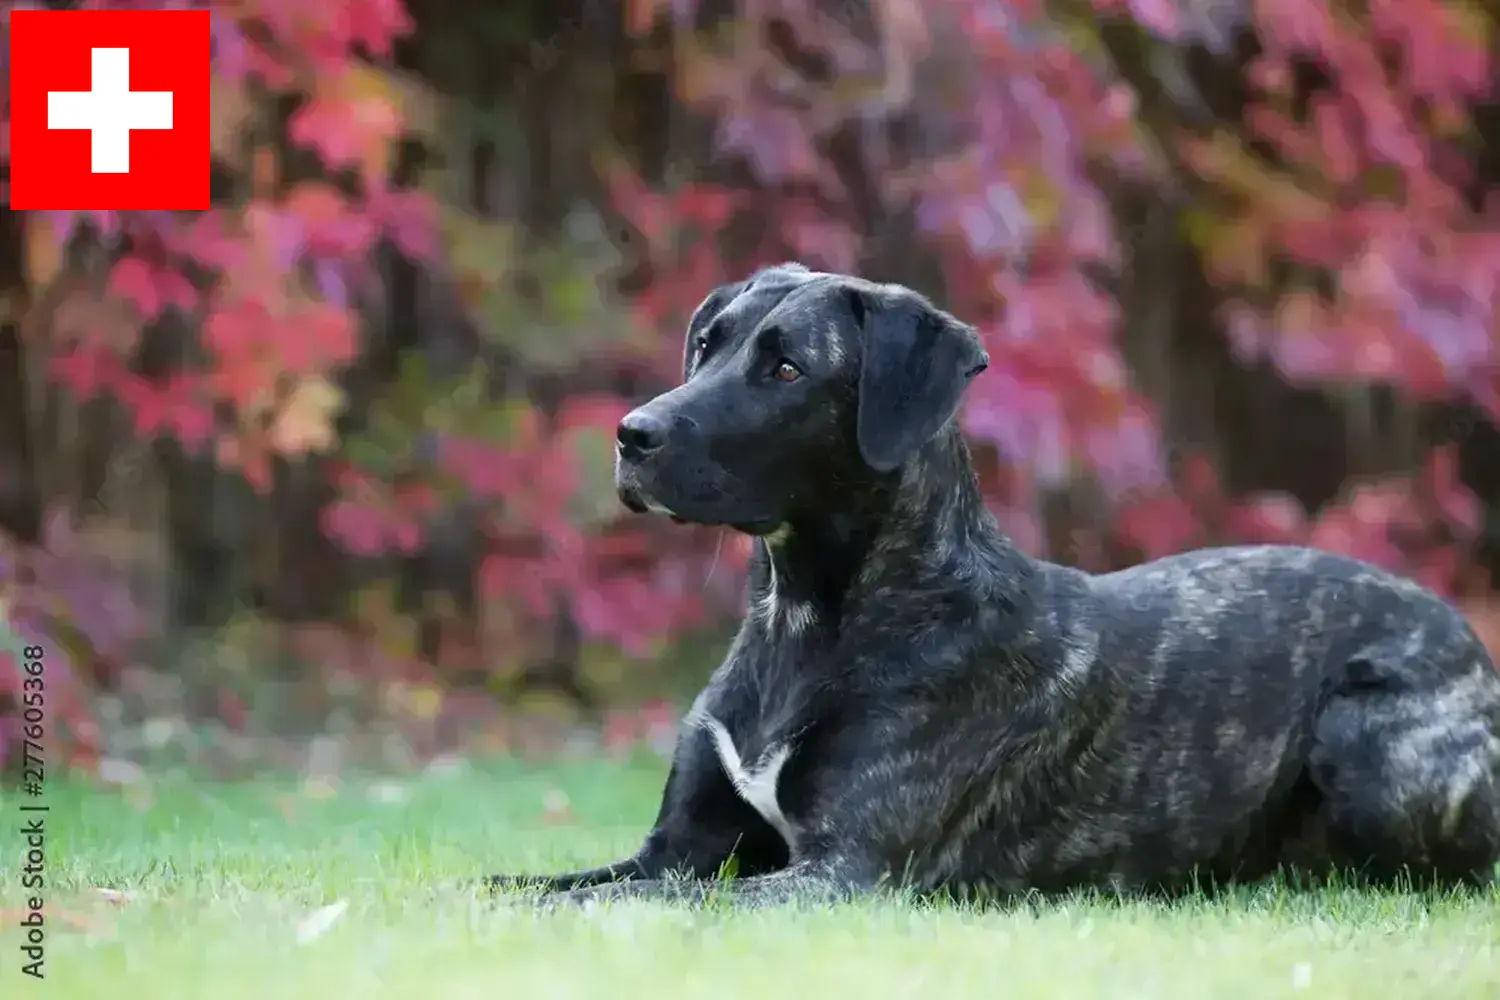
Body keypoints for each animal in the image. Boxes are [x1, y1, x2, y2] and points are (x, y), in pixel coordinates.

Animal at [489, 265, 1500, 905]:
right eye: (707, 343)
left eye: (786, 367)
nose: (632, 434)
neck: (804, 620)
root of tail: (1469, 646)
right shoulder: (677, 851)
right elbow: (524, 886)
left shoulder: (841, 871)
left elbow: (610, 907)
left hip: (1365, 739)